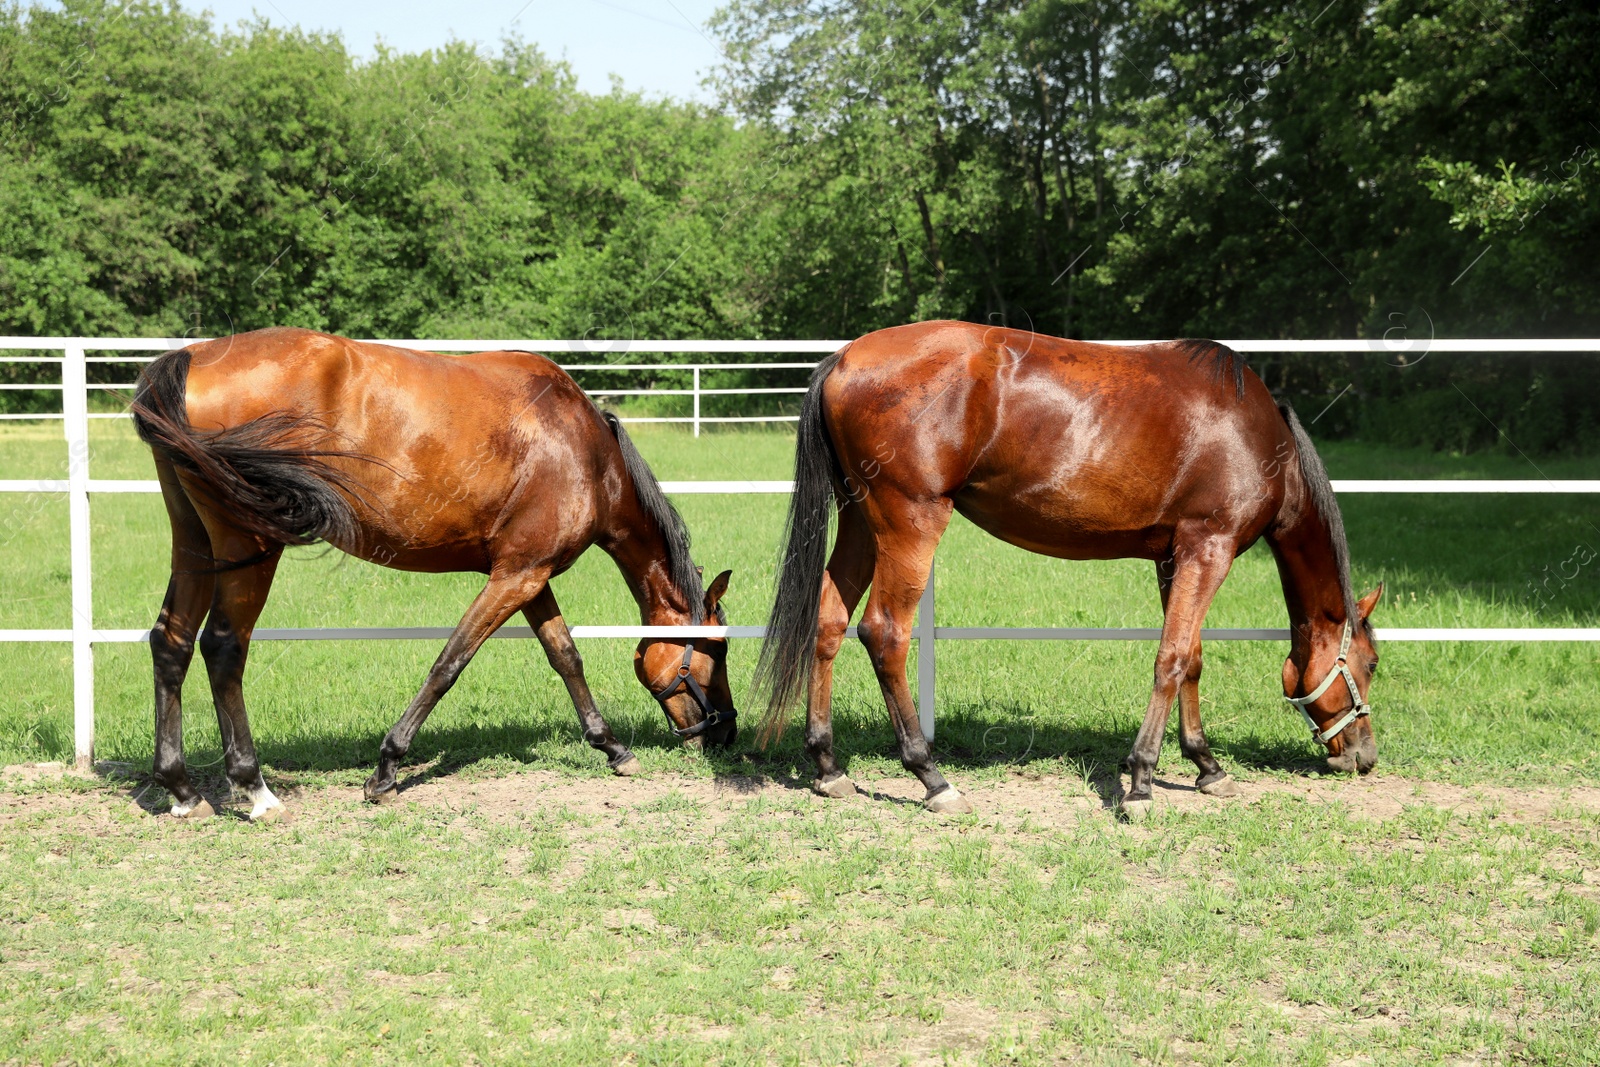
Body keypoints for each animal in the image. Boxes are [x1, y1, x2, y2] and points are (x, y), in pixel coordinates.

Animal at [134, 329, 739, 825]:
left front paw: (611, 747)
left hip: (195, 544)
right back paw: (255, 790)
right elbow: (450, 663)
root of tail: (192, 356)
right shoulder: (515, 577)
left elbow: (565, 655)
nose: (728, 732)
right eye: (717, 651)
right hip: (251, 546)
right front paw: (385, 771)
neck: (586, 453)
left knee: (171, 642)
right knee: (223, 647)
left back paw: (183, 790)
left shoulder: (528, 575)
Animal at [755, 321, 1382, 812]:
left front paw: (1206, 766)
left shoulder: (1177, 556)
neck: (1255, 436)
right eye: (1371, 664)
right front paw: (1141, 780)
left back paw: (828, 767)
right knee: (884, 633)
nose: (1364, 756)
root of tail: (844, 358)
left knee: (829, 622)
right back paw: (931, 777)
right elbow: (1172, 658)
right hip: (910, 521)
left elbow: (1192, 658)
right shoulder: (1210, 548)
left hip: (860, 522)